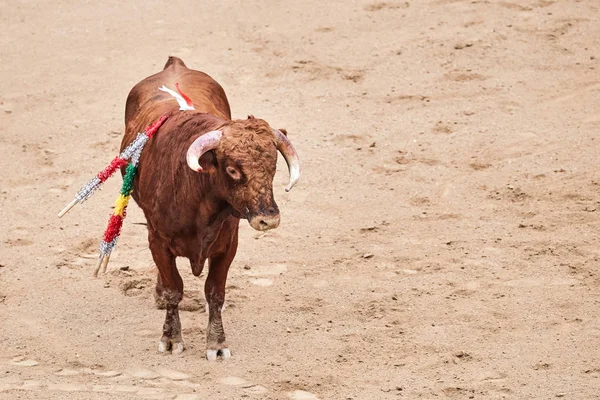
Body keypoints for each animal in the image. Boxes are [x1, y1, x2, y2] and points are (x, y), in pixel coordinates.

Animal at [120, 56, 300, 360]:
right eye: (233, 170)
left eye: (273, 166)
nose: (269, 220)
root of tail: (175, 64)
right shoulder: (158, 241)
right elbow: (174, 289)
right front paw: (171, 339)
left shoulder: (228, 244)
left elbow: (215, 292)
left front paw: (216, 343)